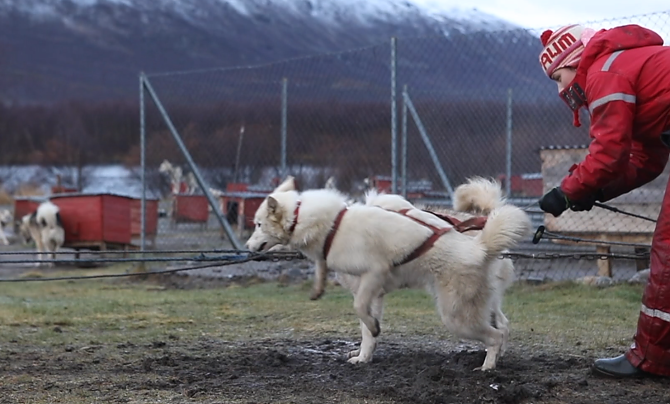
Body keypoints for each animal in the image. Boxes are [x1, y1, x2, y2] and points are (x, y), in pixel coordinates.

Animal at [245, 176, 532, 370]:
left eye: (258, 224)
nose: (247, 247)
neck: (332, 226)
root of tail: (479, 247)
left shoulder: (374, 274)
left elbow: (361, 312)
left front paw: (374, 329)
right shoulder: (373, 292)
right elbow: (365, 331)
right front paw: (363, 356)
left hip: (457, 317)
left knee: (495, 335)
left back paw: (487, 367)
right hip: (479, 306)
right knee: (502, 326)